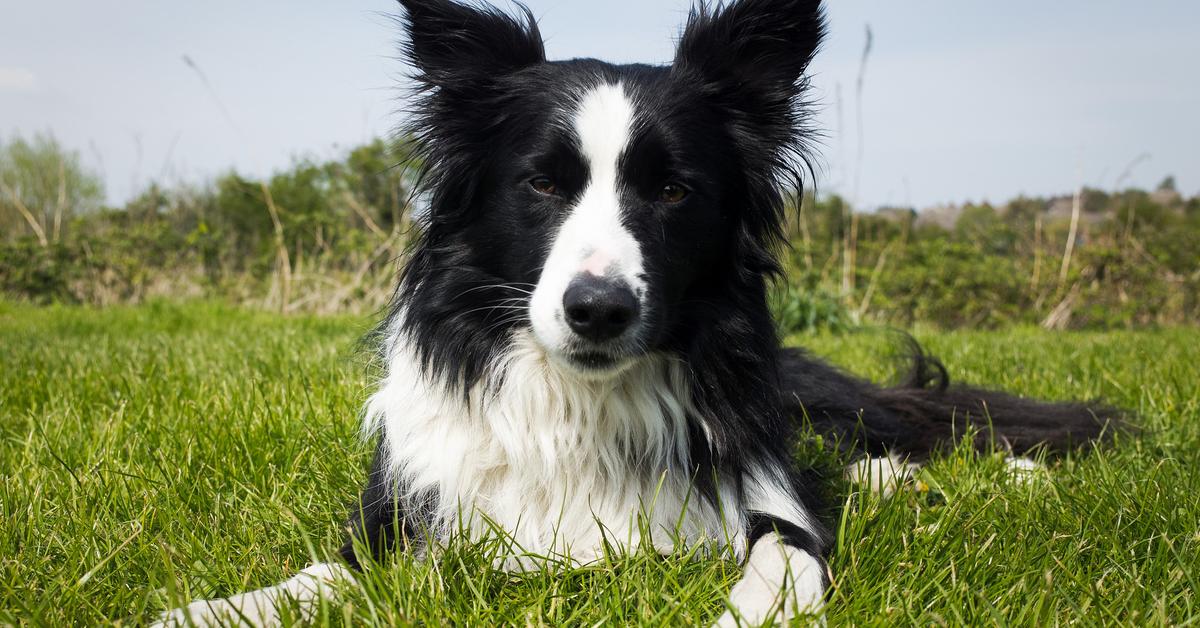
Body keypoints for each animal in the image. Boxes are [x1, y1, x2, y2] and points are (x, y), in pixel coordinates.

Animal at [157, 2, 1113, 624]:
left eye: (673, 190)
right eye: (543, 184)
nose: (598, 310)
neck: (578, 404)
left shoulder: (764, 497)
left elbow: (787, 553)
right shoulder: (408, 515)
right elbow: (326, 574)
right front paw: (220, 607)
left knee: (912, 429)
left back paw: (996, 474)